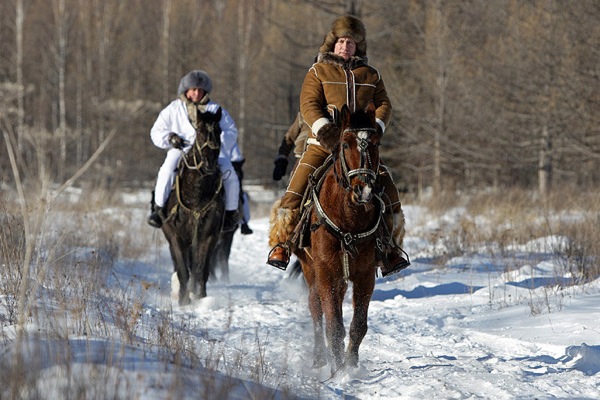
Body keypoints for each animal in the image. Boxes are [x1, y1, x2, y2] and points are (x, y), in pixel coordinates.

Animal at [159, 108, 225, 304]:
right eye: (200, 132)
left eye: (219, 131)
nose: (210, 163)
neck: (196, 195)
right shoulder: (176, 235)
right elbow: (183, 270)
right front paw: (183, 301)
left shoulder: (209, 236)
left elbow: (200, 269)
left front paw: (200, 297)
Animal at [294, 102, 384, 376]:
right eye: (344, 144)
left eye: (376, 143)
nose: (364, 190)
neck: (348, 220)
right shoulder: (325, 272)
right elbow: (333, 324)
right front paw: (337, 371)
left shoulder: (365, 274)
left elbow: (358, 324)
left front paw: (351, 365)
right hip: (310, 268)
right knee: (315, 308)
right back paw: (318, 358)